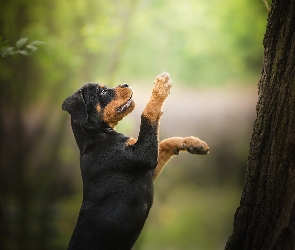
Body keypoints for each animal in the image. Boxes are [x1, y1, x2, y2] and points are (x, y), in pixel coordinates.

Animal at [62, 71, 210, 249]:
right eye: (102, 92)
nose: (125, 84)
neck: (97, 138)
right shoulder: (144, 155)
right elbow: (147, 115)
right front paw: (160, 86)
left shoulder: (148, 169)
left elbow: (166, 142)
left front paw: (193, 143)